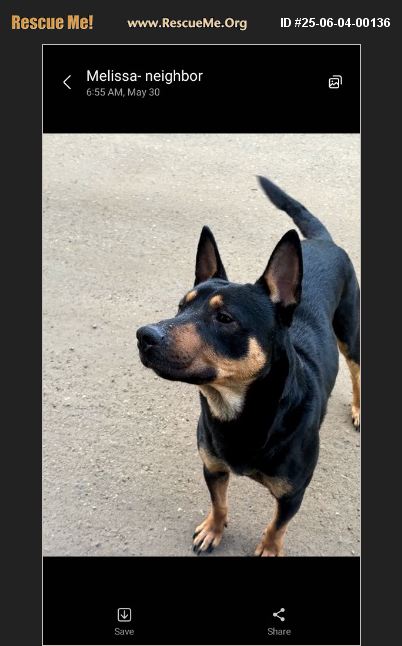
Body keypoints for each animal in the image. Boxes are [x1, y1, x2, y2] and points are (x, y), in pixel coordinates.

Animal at [136, 176, 360, 556]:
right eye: (181, 307)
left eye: (225, 318)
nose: (144, 336)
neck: (241, 413)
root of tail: (322, 241)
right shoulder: (211, 466)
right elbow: (219, 502)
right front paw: (214, 529)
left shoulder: (292, 494)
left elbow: (277, 526)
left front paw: (269, 548)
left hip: (350, 331)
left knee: (358, 371)